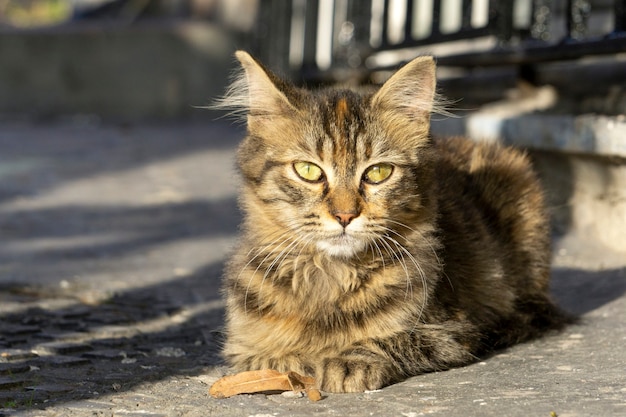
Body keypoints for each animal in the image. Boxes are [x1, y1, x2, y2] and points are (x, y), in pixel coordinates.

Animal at [216, 50, 572, 392]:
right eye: (308, 171)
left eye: (378, 173)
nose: (345, 215)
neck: (332, 275)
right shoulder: (242, 348)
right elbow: (272, 357)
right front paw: (302, 360)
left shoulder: (452, 331)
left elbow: (388, 339)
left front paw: (348, 361)